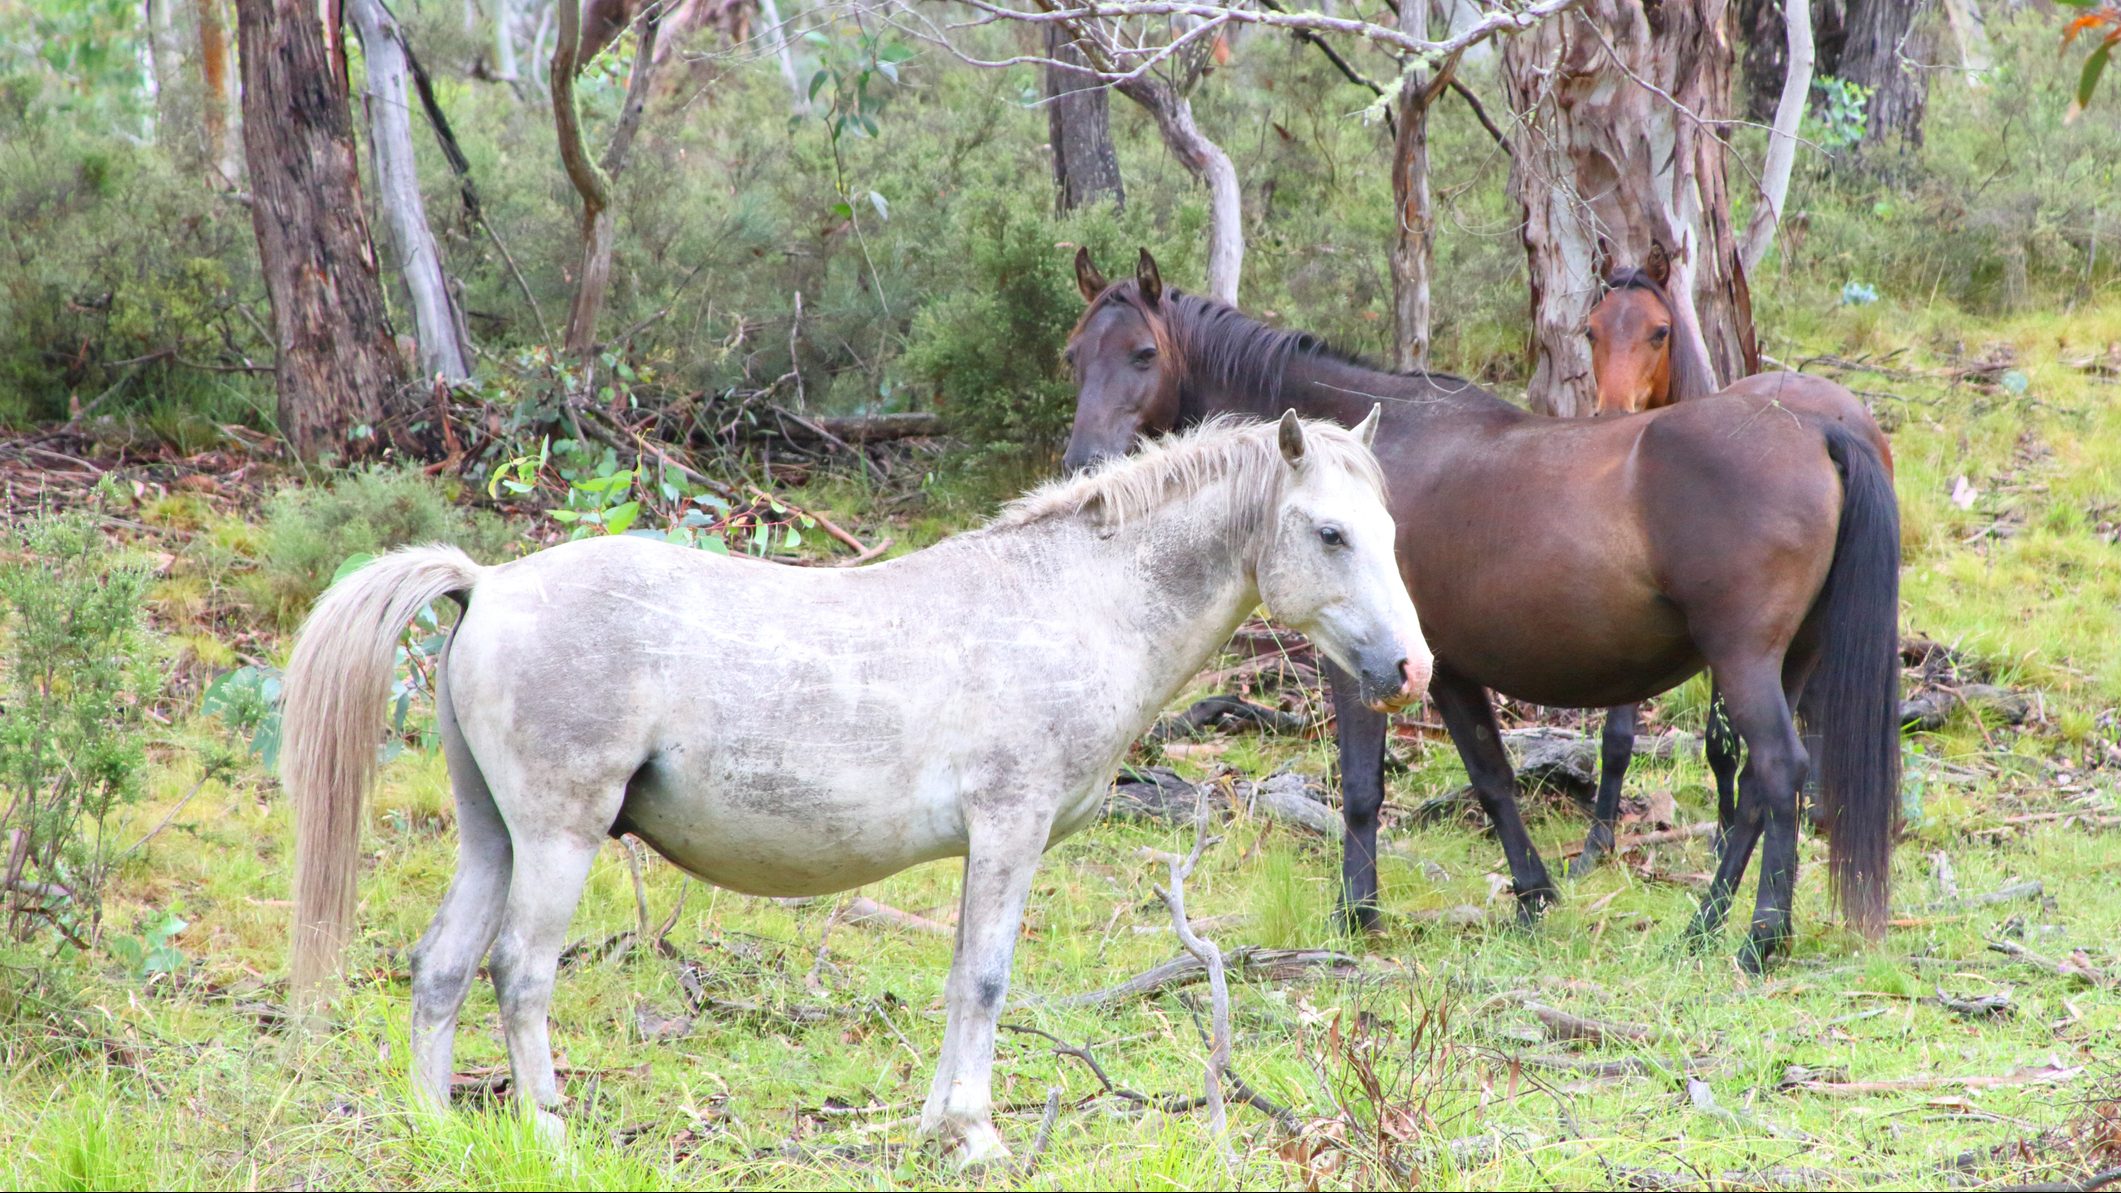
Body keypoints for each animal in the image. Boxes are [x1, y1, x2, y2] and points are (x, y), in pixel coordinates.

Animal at [277, 411, 1425, 1163]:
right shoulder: (1009, 827)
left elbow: (960, 976)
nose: (1410, 669)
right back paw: (551, 1136)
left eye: (1392, 531)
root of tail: (490, 582)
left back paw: (436, 1123)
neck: (1069, 601)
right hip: (558, 839)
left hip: (493, 837)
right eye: (1330, 532)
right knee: (519, 972)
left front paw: (938, 1125)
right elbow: (986, 980)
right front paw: (976, 1136)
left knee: (439, 967)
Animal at [1060, 248, 1908, 967]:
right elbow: (1493, 778)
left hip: (1742, 660)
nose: (1084, 465)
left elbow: (1362, 790)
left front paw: (1355, 913)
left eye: (1142, 354)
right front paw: (1533, 896)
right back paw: (1704, 925)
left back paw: (1758, 937)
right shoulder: (1444, 670)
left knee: (1776, 769)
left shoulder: (1363, 666)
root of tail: (1817, 425)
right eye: (1075, 355)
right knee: (1760, 791)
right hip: (1789, 662)